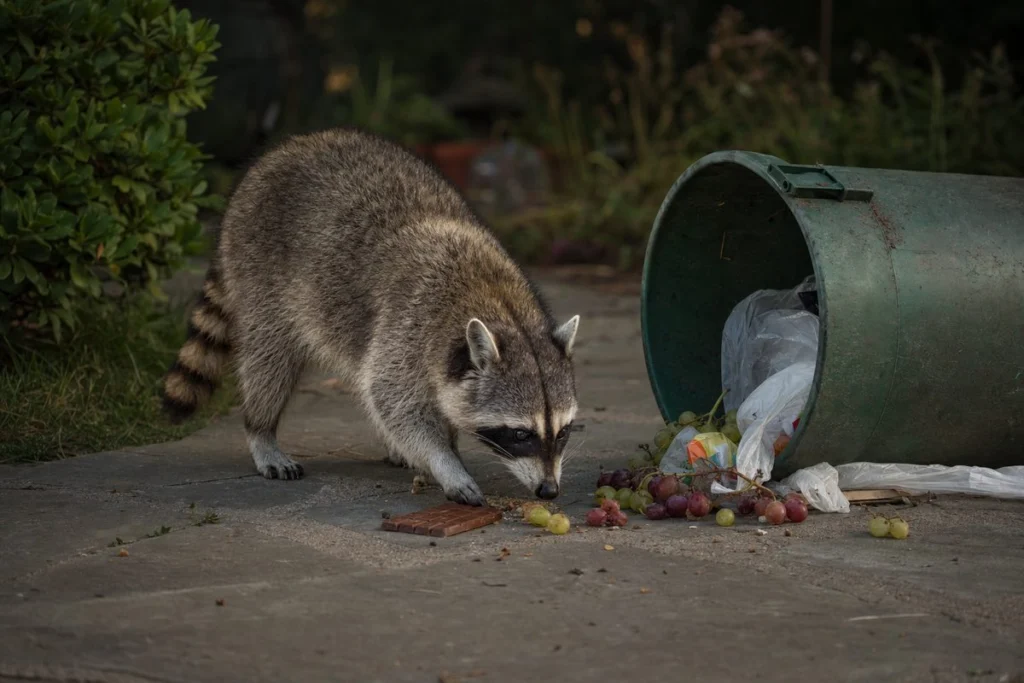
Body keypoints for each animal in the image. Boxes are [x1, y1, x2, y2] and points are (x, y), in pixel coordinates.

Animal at [161, 128, 580, 506]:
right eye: (521, 434)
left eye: (562, 432)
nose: (549, 491)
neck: (496, 301)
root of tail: (287, 147)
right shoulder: (409, 324)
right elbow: (392, 397)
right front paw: (445, 462)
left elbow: (396, 397)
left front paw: (442, 449)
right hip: (258, 266)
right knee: (270, 359)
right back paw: (260, 429)